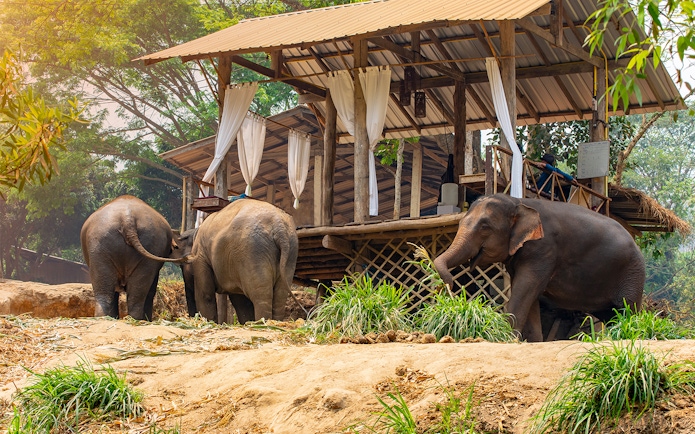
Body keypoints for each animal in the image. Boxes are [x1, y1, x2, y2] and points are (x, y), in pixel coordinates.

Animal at [433, 194, 645, 342]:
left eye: (485, 227)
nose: (449, 286)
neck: (518, 201)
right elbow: (529, 295)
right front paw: (532, 341)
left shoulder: (543, 250)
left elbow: (525, 288)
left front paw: (506, 338)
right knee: (611, 315)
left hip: (632, 274)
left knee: (627, 309)